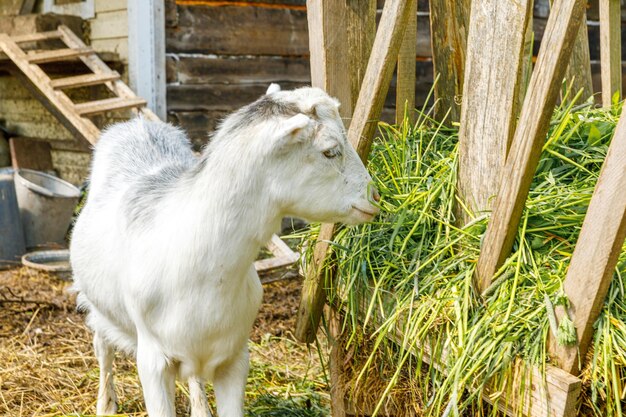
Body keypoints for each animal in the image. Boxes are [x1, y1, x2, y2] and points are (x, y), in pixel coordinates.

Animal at [70, 83, 378, 414]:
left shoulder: (235, 356)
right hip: (96, 303)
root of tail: (137, 124)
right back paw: (106, 404)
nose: (374, 196)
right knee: (102, 345)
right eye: (330, 151)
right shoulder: (152, 362)